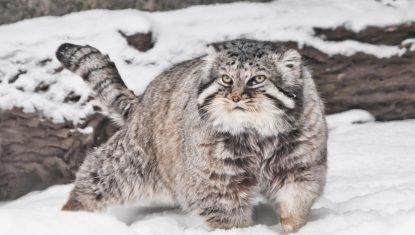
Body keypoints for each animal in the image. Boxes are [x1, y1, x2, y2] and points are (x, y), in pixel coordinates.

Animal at [56, 39, 328, 233]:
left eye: (257, 79)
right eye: (226, 79)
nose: (235, 97)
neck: (256, 133)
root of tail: (142, 100)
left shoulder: (299, 167)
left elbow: (295, 205)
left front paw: (297, 229)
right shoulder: (217, 184)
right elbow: (229, 218)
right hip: (130, 163)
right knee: (96, 178)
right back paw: (70, 216)